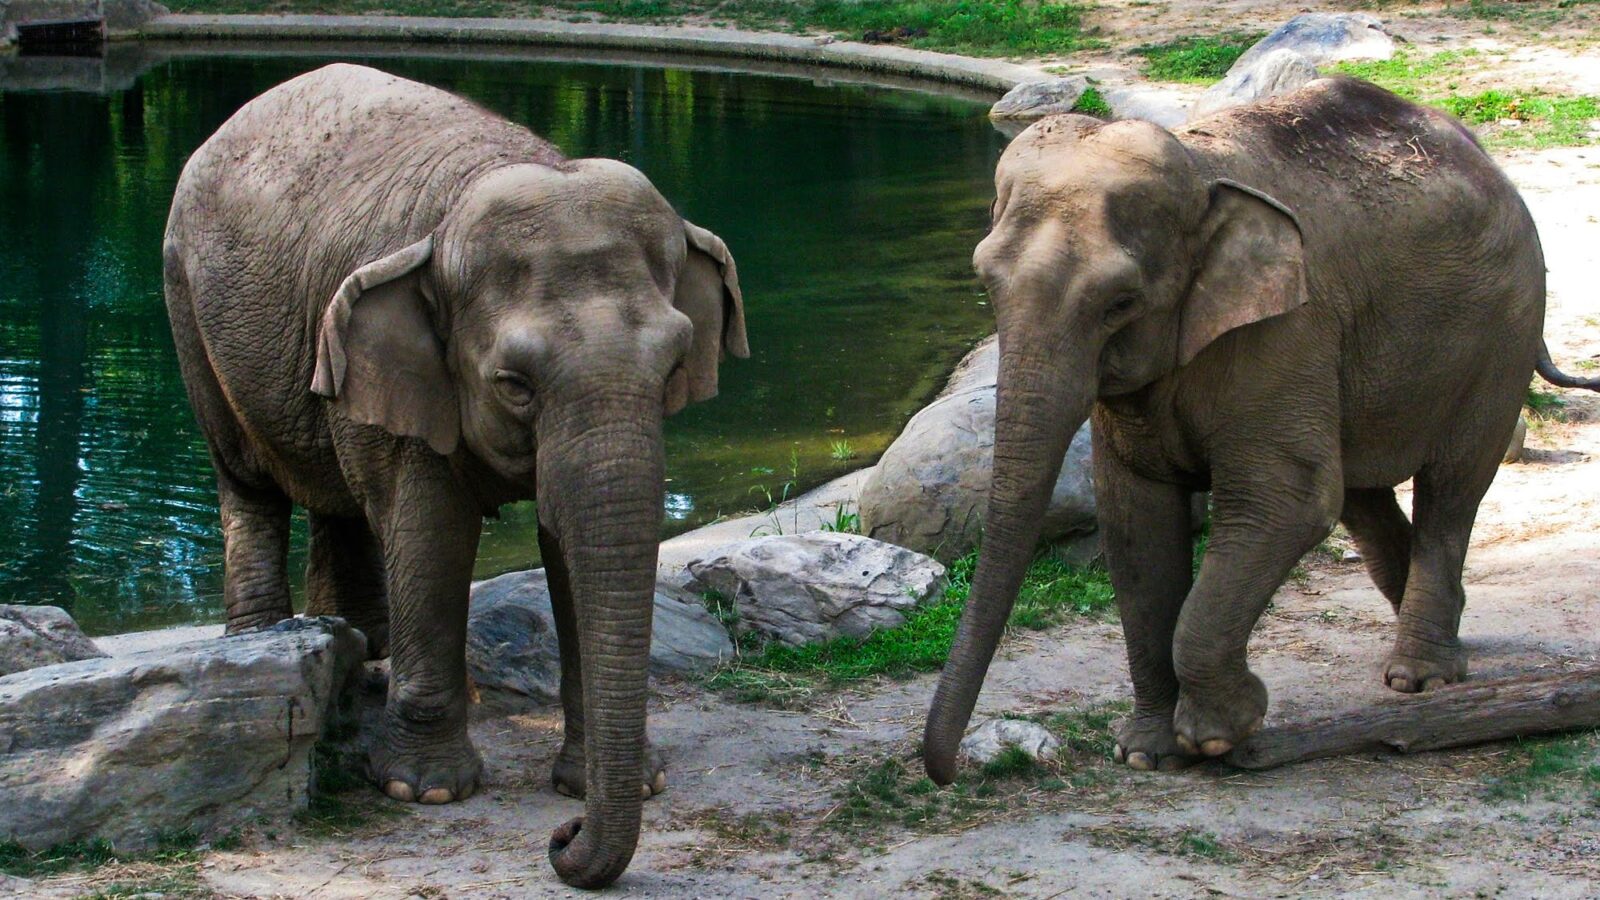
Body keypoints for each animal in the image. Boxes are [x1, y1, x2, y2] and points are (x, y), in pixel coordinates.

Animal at [162, 63, 747, 888]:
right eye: (514, 385)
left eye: (672, 369)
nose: (562, 839)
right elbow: (431, 531)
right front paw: (425, 790)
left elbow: (566, 541)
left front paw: (621, 782)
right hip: (187, 305)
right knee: (247, 480)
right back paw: (265, 637)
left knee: (340, 498)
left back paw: (364, 649)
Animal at [922, 77, 1599, 783]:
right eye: (985, 281)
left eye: (1120, 303)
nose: (946, 772)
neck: (1199, 171)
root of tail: (1482, 153)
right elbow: (1135, 521)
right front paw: (1145, 753)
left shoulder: (1284, 332)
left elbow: (1286, 501)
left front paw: (1223, 732)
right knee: (1363, 497)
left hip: (1502, 330)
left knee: (1453, 485)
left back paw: (1421, 679)